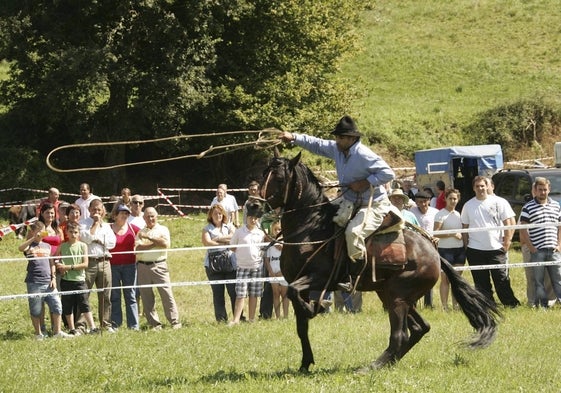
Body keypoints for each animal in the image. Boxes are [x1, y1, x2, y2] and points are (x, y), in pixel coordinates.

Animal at [258, 149, 498, 370]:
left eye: (279, 178)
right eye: (263, 173)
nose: (255, 205)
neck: (310, 227)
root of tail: (433, 251)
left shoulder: (319, 277)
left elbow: (296, 297)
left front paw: (316, 307)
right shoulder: (299, 282)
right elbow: (301, 325)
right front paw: (305, 363)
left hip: (398, 297)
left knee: (400, 334)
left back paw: (374, 366)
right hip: (393, 295)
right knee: (420, 328)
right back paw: (388, 362)